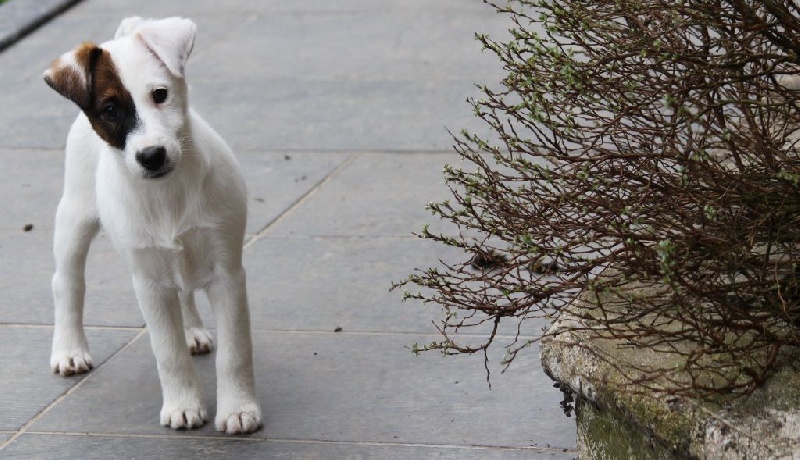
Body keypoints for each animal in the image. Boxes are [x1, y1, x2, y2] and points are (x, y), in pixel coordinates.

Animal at [43, 17, 262, 434]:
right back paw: (69, 349)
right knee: (67, 282)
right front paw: (183, 405)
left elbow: (235, 351)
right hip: (74, 216)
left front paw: (238, 409)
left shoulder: (227, 272)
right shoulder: (149, 284)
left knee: (185, 291)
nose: (151, 156)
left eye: (160, 94)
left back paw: (191, 330)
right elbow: (168, 352)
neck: (167, 193)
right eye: (110, 109)